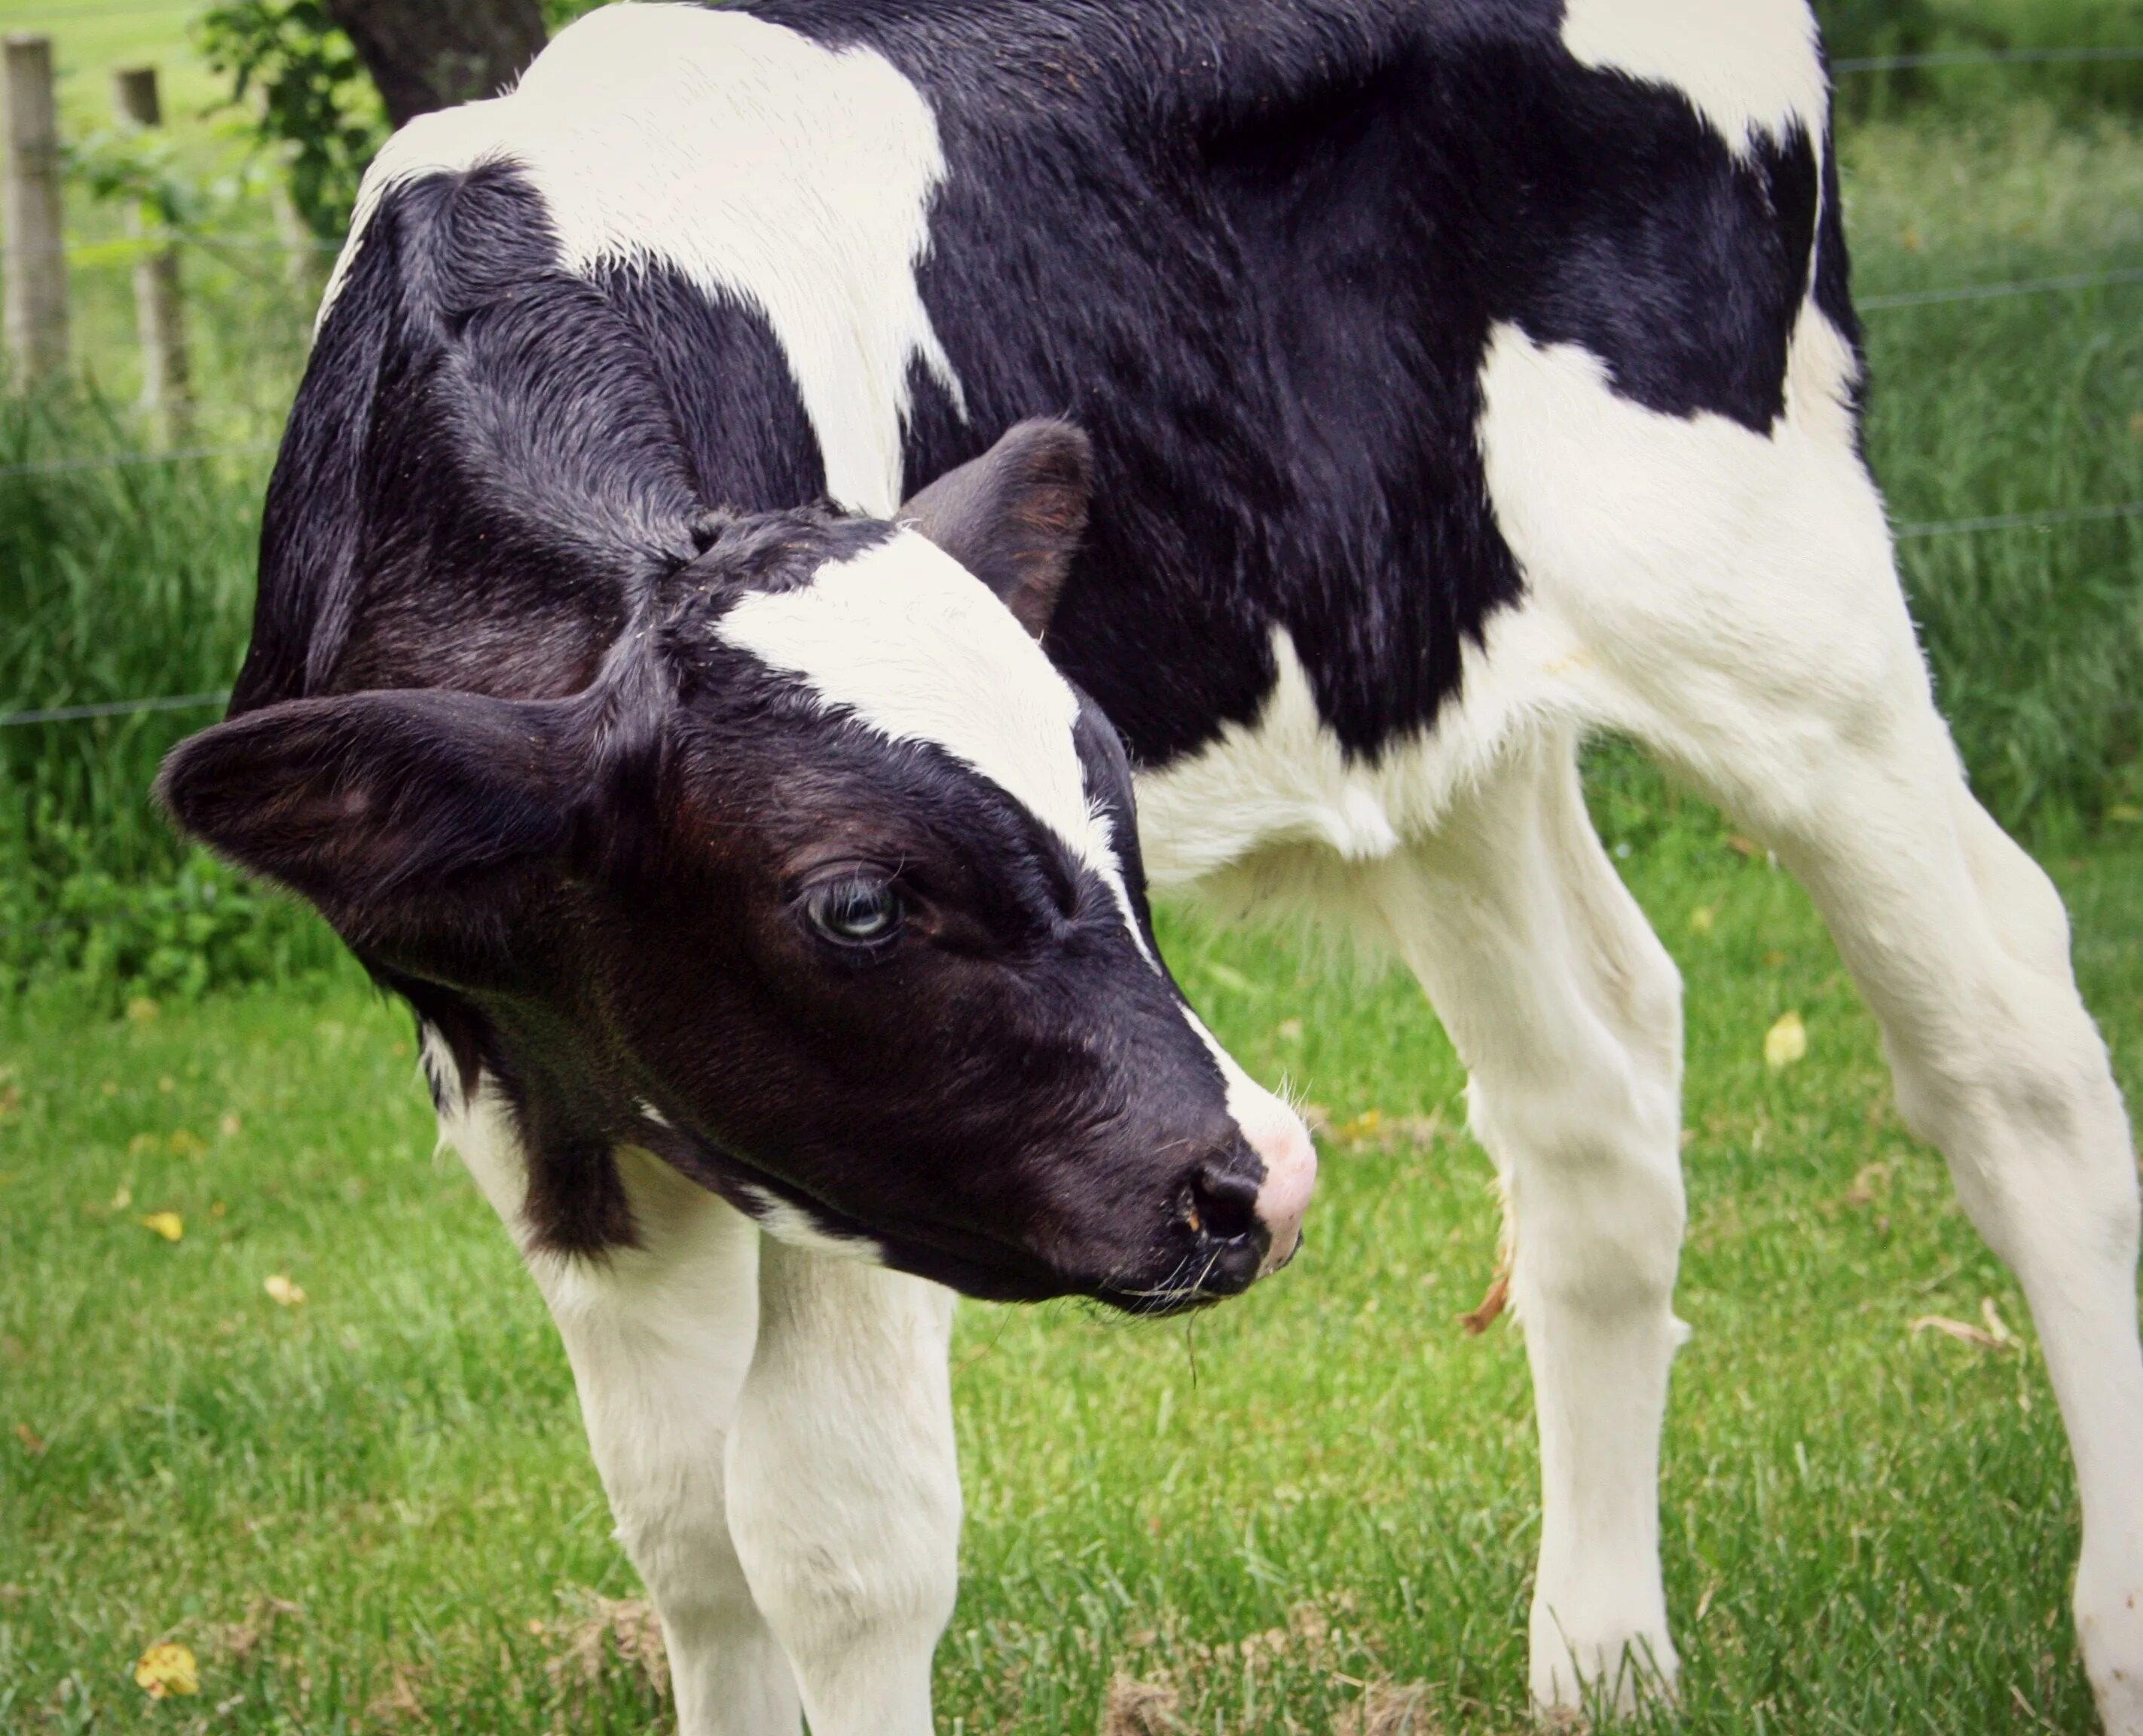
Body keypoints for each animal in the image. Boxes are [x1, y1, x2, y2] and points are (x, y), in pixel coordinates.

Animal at [163, 3, 2143, 1731]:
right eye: (856, 902)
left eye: (1107, 796)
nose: (1260, 1177)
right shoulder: (528, 1088)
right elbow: (685, 1535)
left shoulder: (873, 1166)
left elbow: (836, 1544)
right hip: (1428, 709)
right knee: (1588, 1090)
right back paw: (1600, 1660)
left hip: (1778, 605)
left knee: (2010, 1046)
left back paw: (2111, 1632)